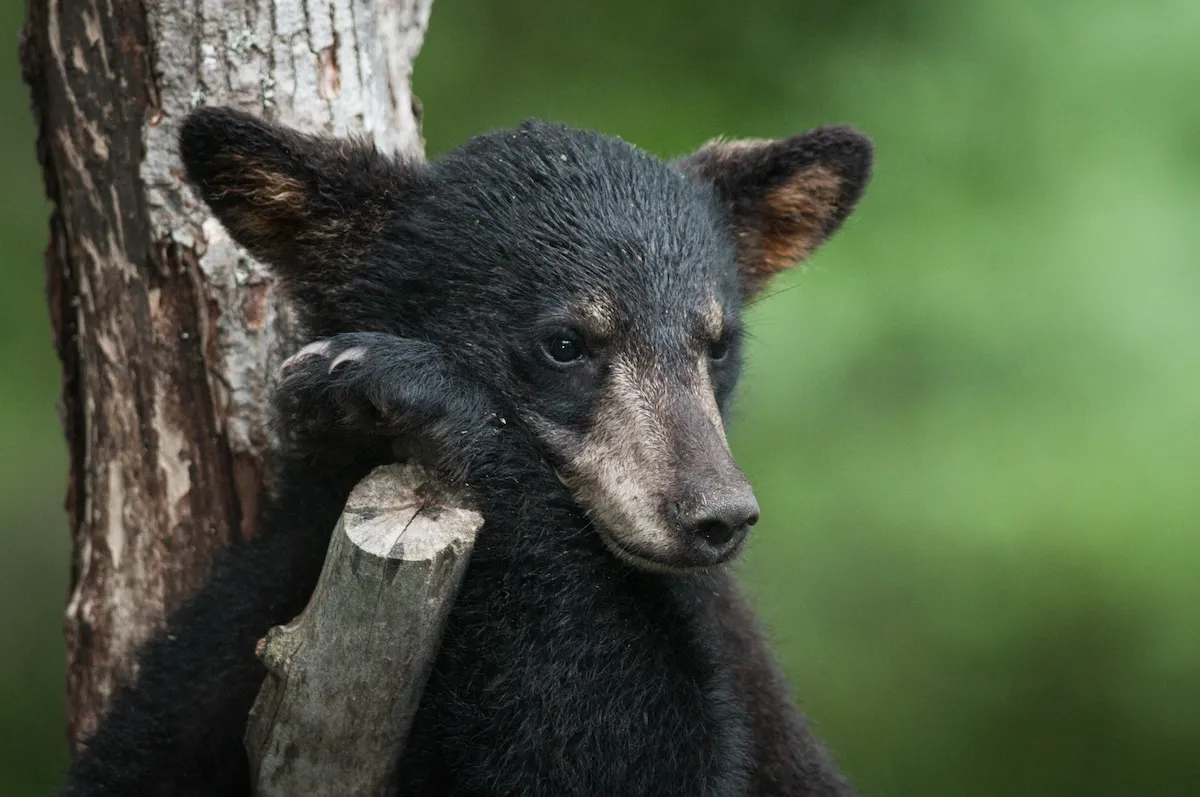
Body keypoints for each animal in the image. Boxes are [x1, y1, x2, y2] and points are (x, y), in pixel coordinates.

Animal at [61, 107, 872, 796]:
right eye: (565, 343)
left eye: (719, 343)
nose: (716, 513)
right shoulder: (248, 619)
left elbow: (631, 754)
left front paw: (417, 385)